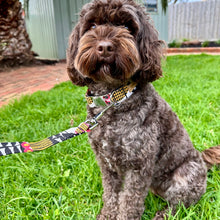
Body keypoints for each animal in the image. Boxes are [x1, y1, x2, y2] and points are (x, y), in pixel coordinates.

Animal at [66, 0, 220, 219]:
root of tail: (201, 158)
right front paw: (107, 214)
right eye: (92, 26)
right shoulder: (106, 163)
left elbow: (130, 201)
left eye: (127, 26)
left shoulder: (138, 164)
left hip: (185, 176)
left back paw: (163, 214)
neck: (113, 99)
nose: (104, 47)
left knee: (182, 204)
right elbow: (111, 194)